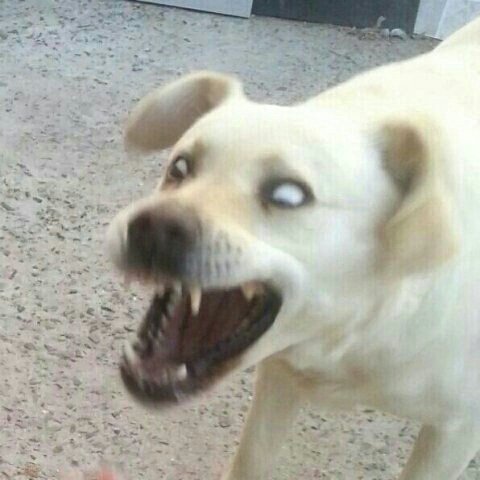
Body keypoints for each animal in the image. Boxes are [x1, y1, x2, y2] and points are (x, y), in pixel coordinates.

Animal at [106, 16, 480, 480]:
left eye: (288, 195)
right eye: (180, 167)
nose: (153, 227)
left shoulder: (455, 432)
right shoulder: (280, 377)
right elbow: (251, 460)